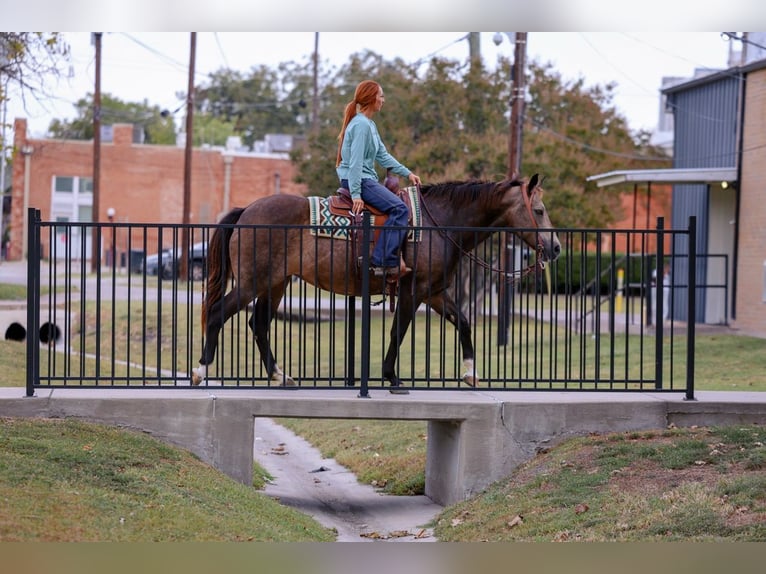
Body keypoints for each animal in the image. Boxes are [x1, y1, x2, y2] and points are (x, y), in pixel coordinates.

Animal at [191, 174, 561, 392]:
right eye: (539, 210)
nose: (556, 247)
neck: (439, 223)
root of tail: (246, 211)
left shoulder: (435, 293)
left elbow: (465, 322)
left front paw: (470, 372)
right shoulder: (413, 292)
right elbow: (398, 332)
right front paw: (392, 376)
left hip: (276, 284)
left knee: (259, 324)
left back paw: (280, 375)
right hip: (252, 283)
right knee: (219, 314)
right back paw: (200, 372)